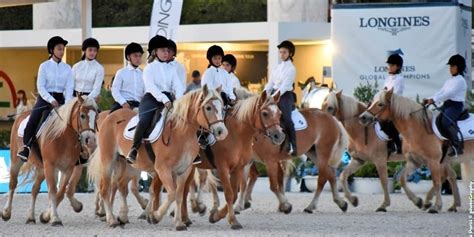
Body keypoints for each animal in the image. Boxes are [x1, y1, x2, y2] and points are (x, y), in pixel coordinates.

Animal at [1, 96, 98, 226]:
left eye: (96, 116)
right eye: (82, 115)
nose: (91, 140)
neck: (63, 137)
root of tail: (23, 115)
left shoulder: (68, 168)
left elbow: (60, 192)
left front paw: (47, 216)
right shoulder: (50, 165)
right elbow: (52, 190)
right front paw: (55, 218)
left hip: (42, 169)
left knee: (34, 189)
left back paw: (31, 217)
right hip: (17, 160)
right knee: (13, 183)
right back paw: (6, 213)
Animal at [89, 86, 230, 231]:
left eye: (222, 107)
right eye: (208, 107)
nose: (222, 132)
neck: (180, 134)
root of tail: (109, 116)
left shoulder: (183, 171)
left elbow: (178, 196)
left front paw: (178, 223)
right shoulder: (163, 169)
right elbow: (171, 194)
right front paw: (155, 216)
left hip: (127, 164)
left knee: (120, 185)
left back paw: (121, 217)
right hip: (108, 160)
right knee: (105, 188)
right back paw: (111, 220)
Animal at [324, 91, 462, 212]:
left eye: (330, 107)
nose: (322, 120)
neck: (363, 130)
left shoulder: (379, 160)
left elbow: (384, 181)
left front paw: (384, 205)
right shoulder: (358, 160)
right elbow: (343, 176)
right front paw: (352, 200)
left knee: (444, 177)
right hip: (442, 160)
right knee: (451, 176)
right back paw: (451, 204)